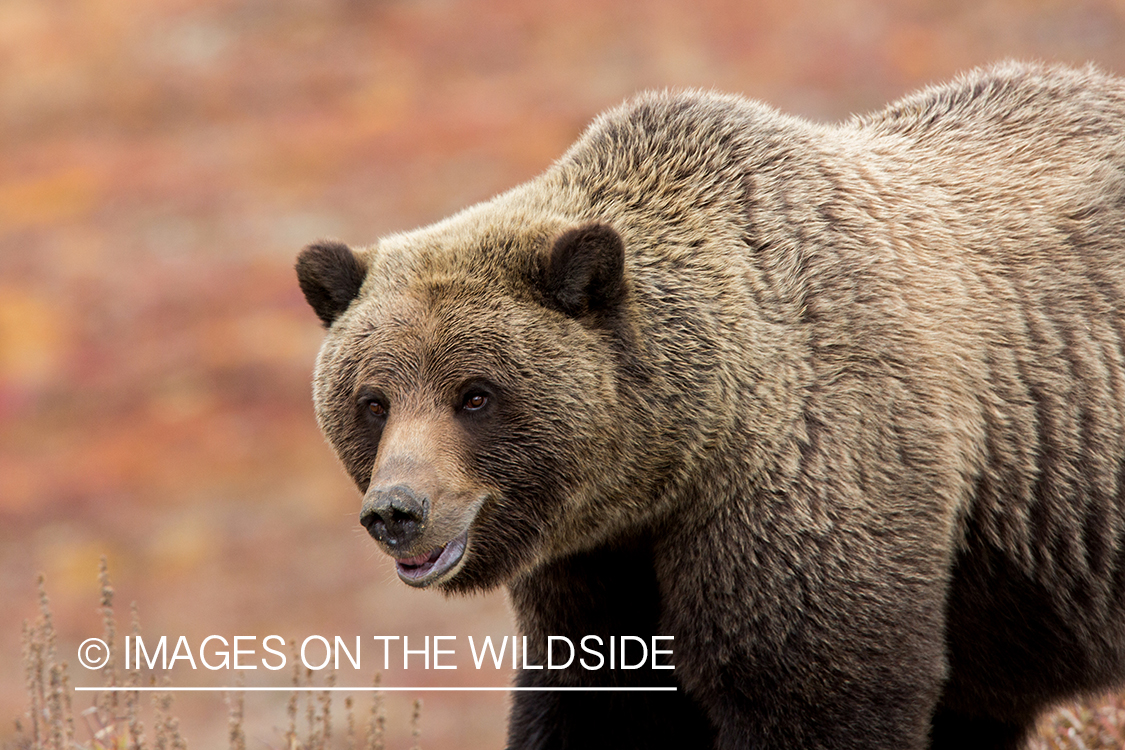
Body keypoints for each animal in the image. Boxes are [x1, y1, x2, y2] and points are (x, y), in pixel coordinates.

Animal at [294, 64, 1125, 750]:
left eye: (475, 394)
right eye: (373, 401)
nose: (398, 510)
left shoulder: (813, 476)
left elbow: (816, 691)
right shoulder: (597, 572)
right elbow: (595, 705)